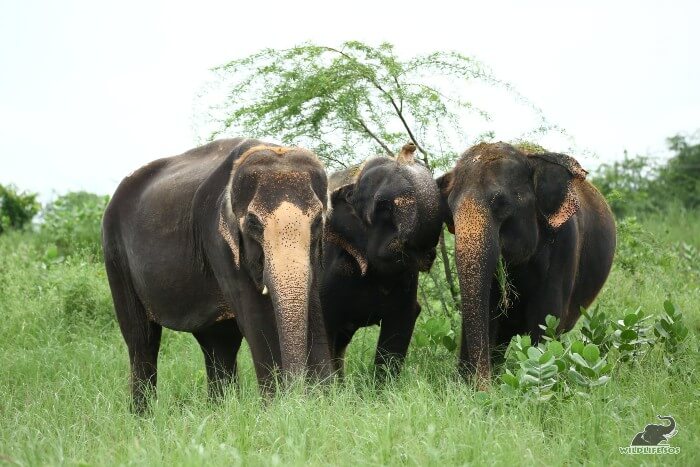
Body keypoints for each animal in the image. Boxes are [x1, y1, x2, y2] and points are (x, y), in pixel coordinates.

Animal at [102, 139, 334, 414]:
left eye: (318, 221)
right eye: (253, 223)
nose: (298, 392)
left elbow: (314, 310)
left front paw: (324, 404)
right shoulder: (218, 241)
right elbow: (256, 319)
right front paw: (277, 409)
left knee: (218, 342)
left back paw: (220, 411)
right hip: (114, 256)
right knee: (141, 338)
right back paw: (143, 417)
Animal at [440, 144, 616, 388]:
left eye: (501, 203)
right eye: (450, 209)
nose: (484, 386)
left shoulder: (565, 242)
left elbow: (546, 318)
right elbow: (487, 312)